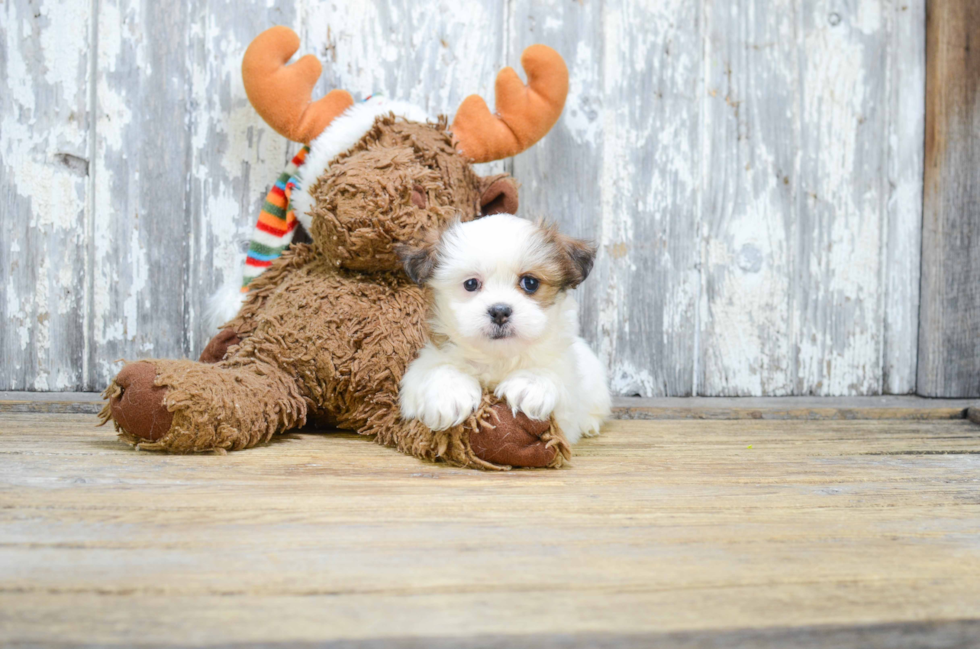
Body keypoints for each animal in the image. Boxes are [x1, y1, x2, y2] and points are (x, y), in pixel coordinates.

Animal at [394, 215, 608, 442]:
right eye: (471, 284)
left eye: (530, 282)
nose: (499, 312)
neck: (498, 358)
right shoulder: (422, 368)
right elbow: (440, 369)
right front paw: (450, 393)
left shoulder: (567, 400)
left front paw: (531, 383)